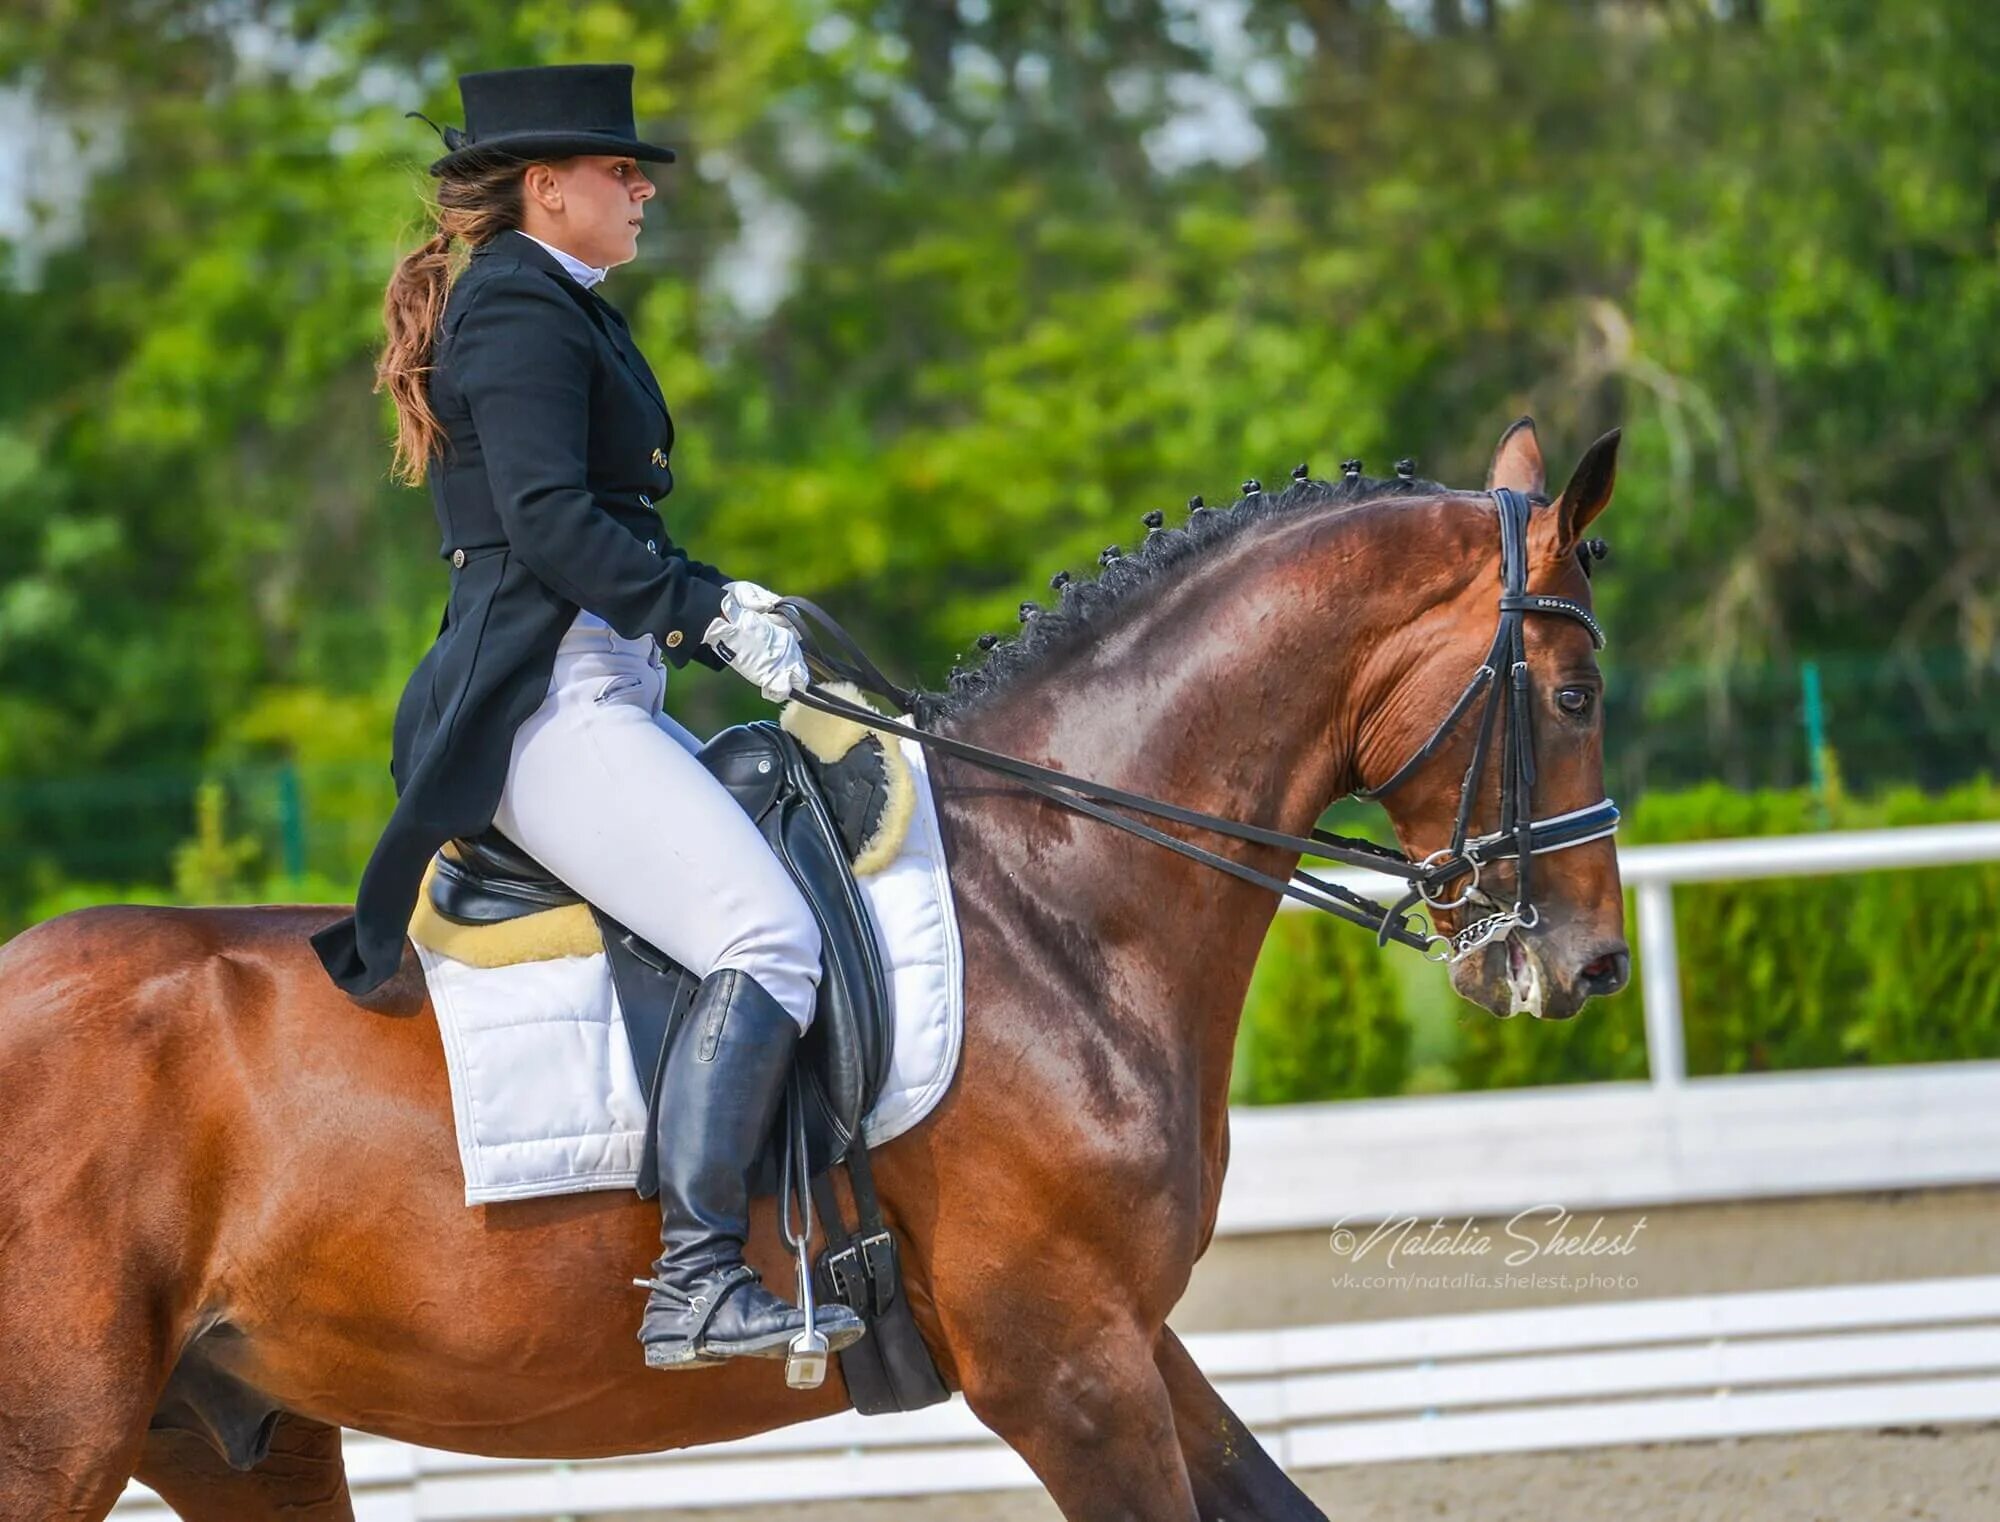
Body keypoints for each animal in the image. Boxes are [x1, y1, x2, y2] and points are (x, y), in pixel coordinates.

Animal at [0, 418, 1624, 1520]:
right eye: (1574, 693)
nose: (1593, 966)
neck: (1055, 900)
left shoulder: (1123, 1334)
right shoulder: (1064, 1365)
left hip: (231, 1432)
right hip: (62, 1434)